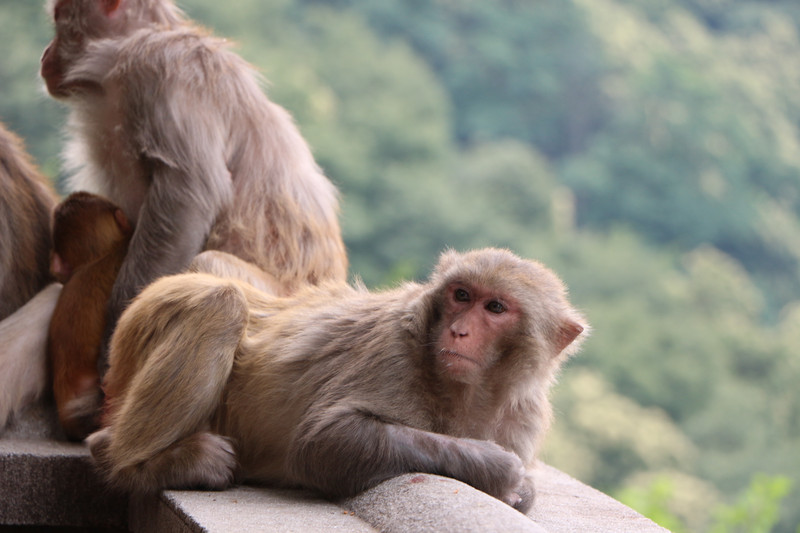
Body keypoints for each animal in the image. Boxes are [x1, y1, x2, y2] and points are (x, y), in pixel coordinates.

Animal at [39, 0, 346, 366]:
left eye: (59, 19)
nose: (45, 53)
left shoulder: (163, 70)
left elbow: (189, 189)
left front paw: (115, 330)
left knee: (208, 262)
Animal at [87, 247, 588, 510]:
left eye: (495, 308)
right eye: (461, 295)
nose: (458, 330)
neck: (470, 393)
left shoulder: (523, 418)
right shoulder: (394, 351)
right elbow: (323, 443)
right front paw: (499, 470)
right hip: (146, 321)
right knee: (220, 303)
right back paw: (139, 465)